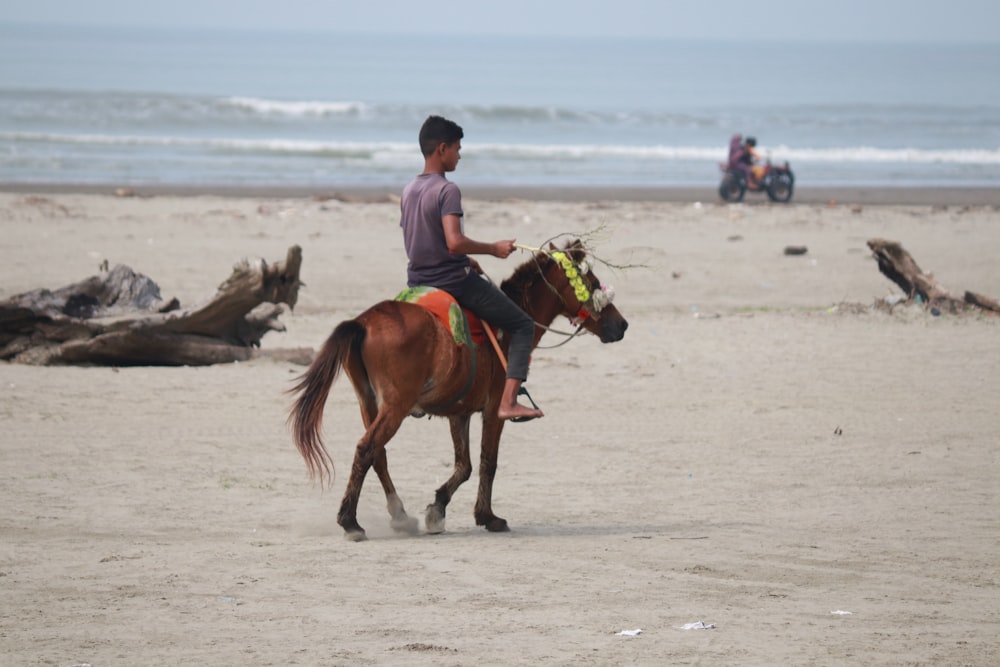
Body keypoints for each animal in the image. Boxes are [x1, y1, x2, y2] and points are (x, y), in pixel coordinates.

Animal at [290, 241, 624, 544]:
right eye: (594, 283)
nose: (622, 325)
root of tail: (362, 322)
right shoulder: (495, 410)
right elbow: (488, 461)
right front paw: (488, 517)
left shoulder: (459, 412)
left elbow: (464, 465)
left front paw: (437, 508)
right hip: (395, 407)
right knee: (366, 448)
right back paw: (350, 521)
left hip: (369, 403)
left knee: (377, 454)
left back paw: (400, 516)